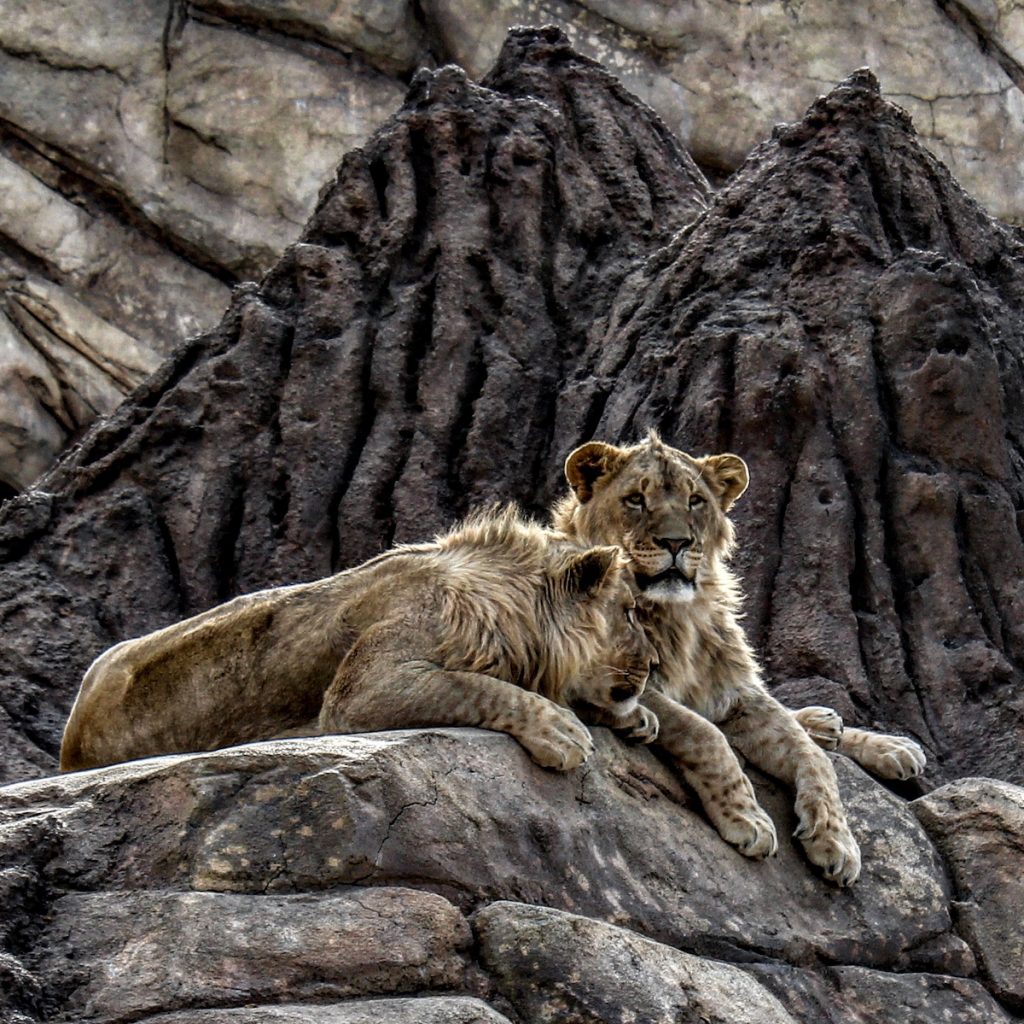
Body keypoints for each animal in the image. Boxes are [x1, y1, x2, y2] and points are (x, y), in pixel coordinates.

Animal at [61, 507, 655, 770]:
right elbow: (477, 687)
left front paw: (639, 719)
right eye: (629, 612)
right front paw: (561, 731)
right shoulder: (363, 690)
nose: (650, 666)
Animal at [552, 430, 929, 880]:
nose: (676, 542)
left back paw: (873, 741)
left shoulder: (738, 692)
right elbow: (704, 733)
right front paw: (748, 818)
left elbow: (811, 754)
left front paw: (836, 839)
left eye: (695, 500)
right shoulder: (620, 678)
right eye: (635, 500)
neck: (678, 615)